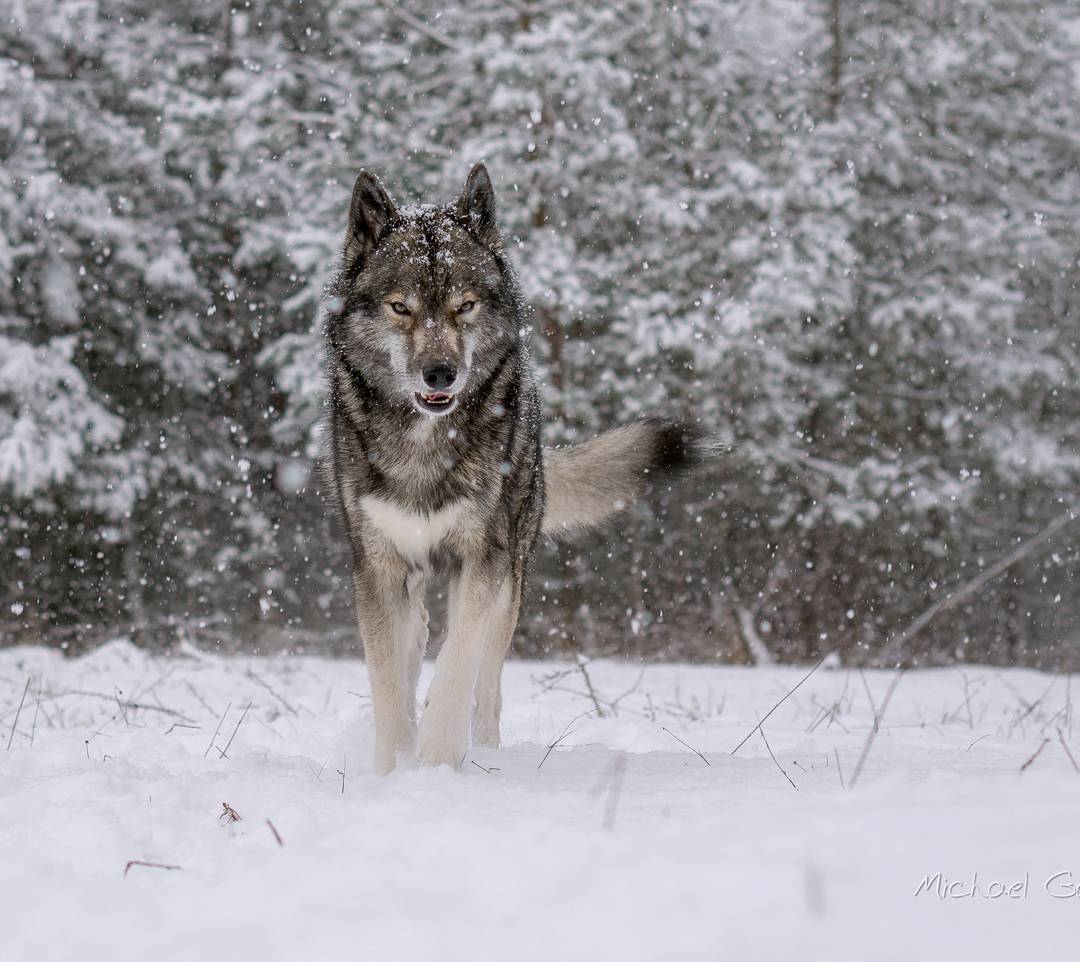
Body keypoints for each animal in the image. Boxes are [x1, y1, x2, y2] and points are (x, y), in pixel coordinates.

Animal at [319, 161, 717, 773]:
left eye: (464, 305)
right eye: (400, 307)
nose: (440, 373)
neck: (425, 444)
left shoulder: (483, 560)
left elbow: (458, 663)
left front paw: (437, 765)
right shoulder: (377, 566)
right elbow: (388, 685)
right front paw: (391, 772)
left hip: (511, 574)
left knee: (486, 683)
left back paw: (483, 751)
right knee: (417, 647)